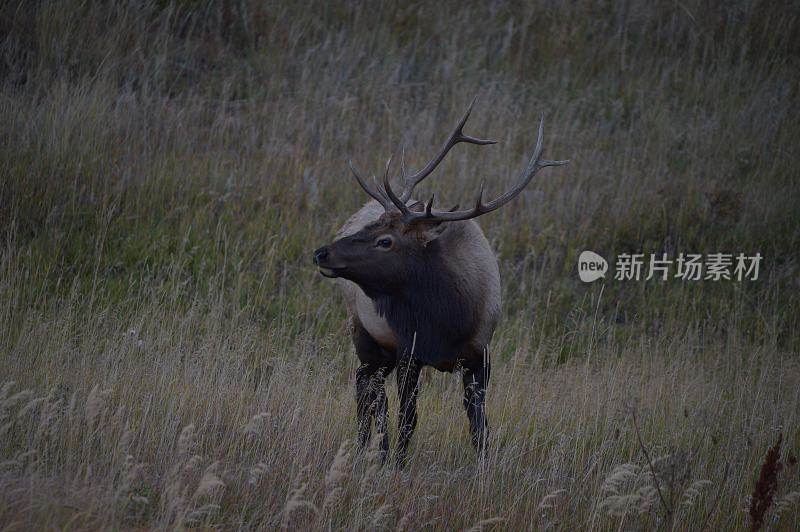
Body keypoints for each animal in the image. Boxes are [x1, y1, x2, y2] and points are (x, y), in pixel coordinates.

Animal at [312, 101, 568, 466]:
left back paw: (369, 447)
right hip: (364, 331)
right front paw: (397, 465)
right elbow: (408, 418)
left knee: (368, 385)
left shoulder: (480, 354)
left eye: (385, 241)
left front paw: (483, 467)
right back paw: (371, 448)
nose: (322, 252)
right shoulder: (410, 348)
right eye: (372, 227)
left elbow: (479, 425)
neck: (449, 322)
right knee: (369, 388)